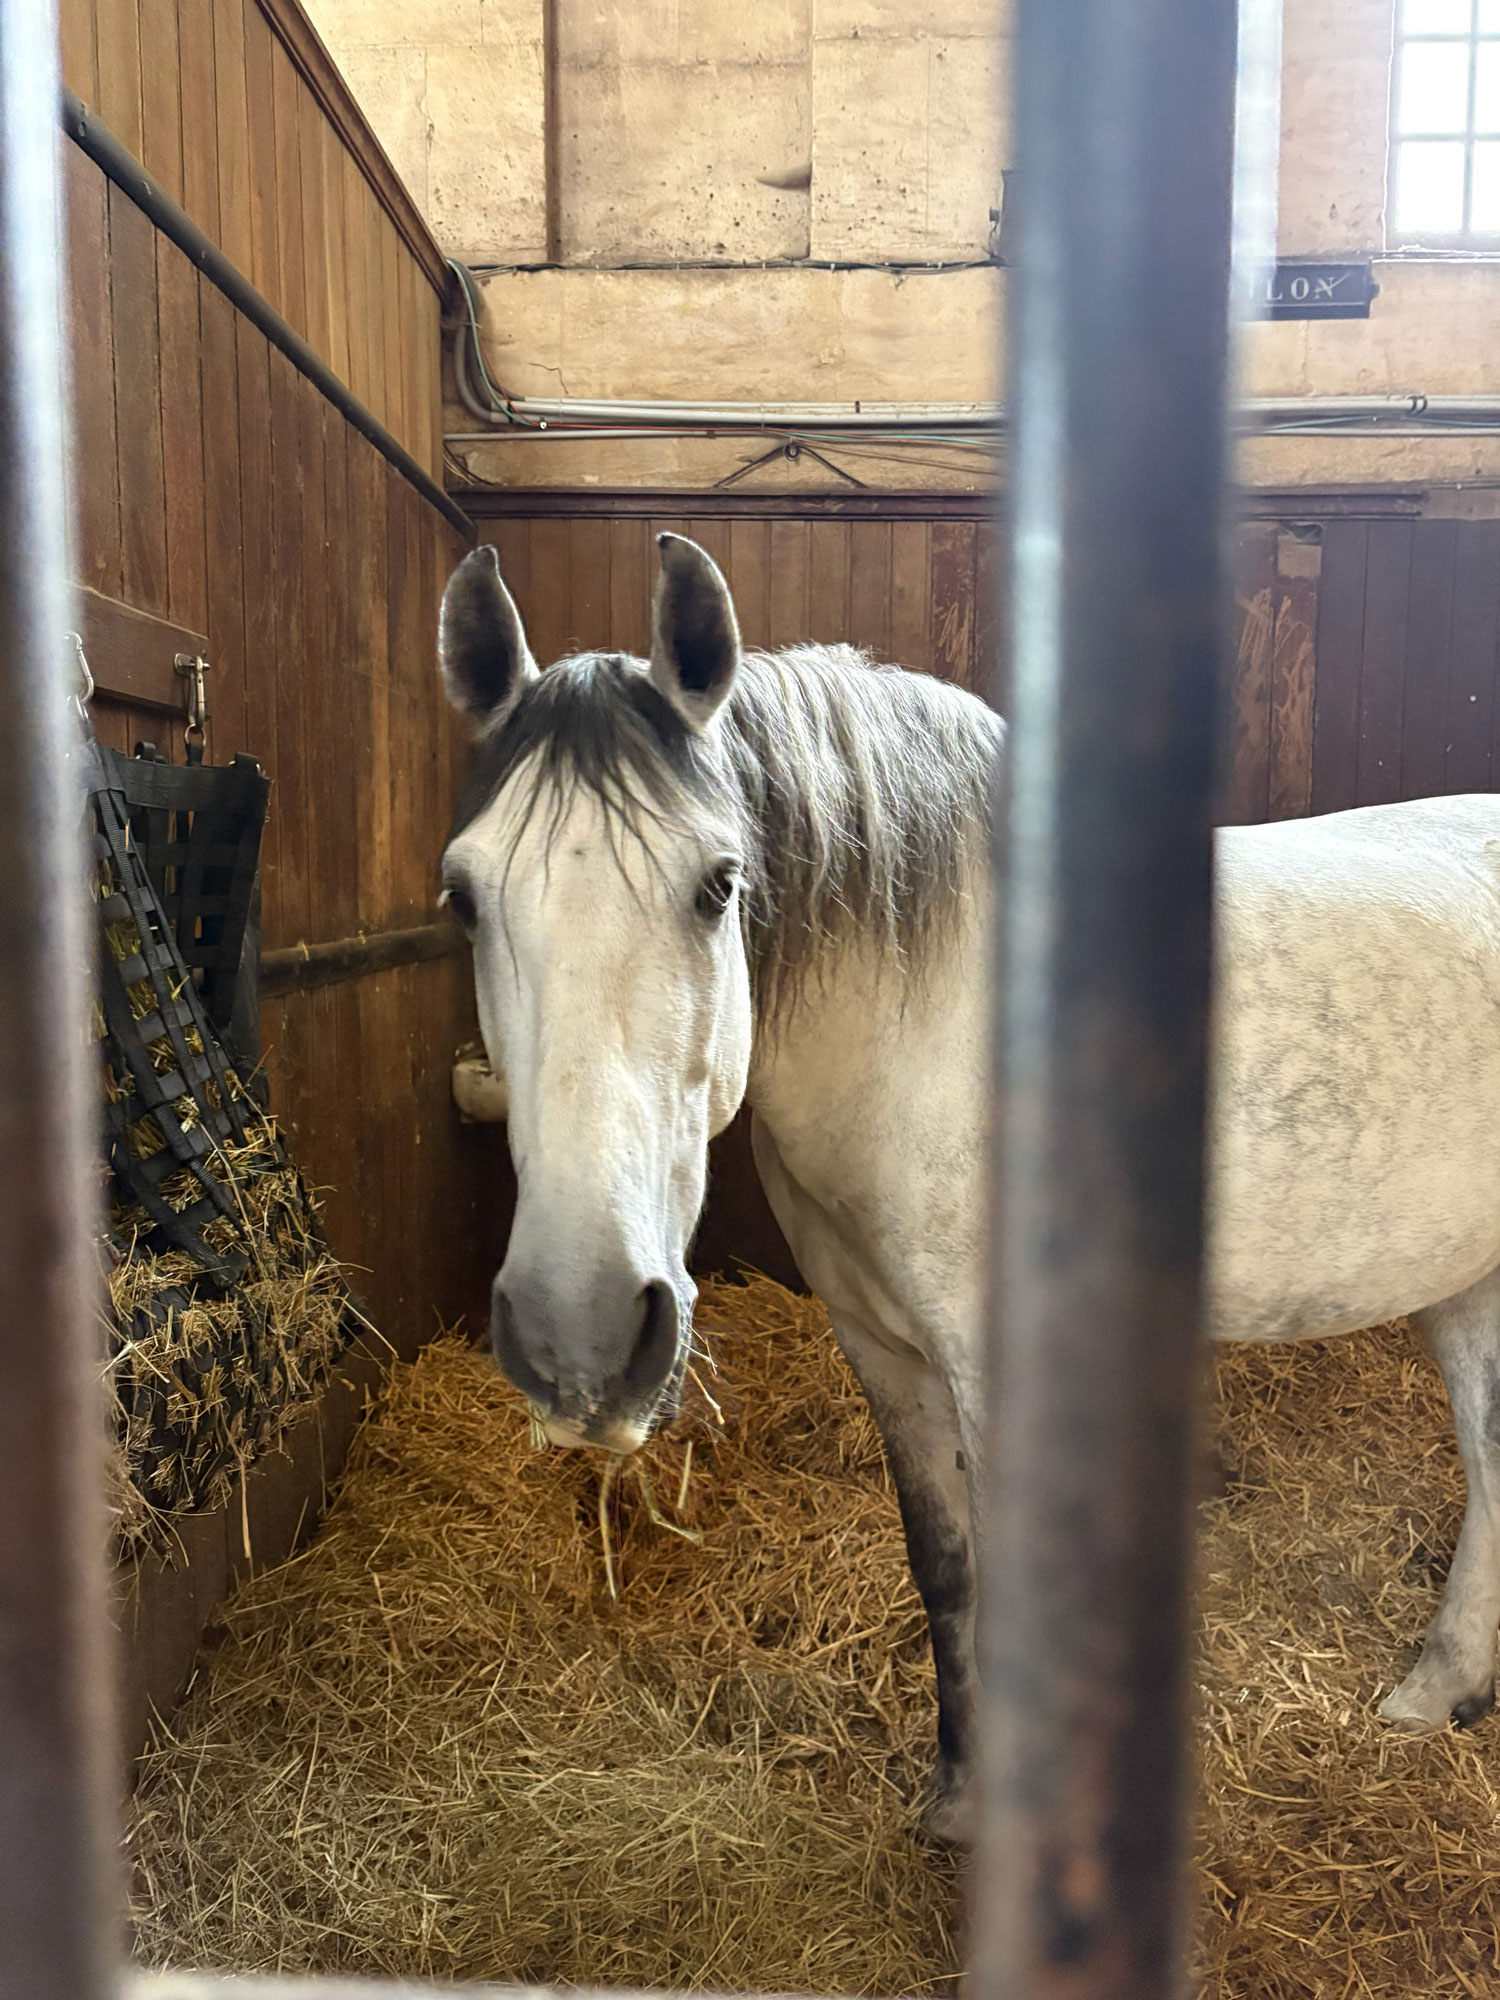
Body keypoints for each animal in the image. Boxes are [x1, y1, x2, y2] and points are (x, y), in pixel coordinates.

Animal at [437, 530, 1500, 1842]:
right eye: (463, 895)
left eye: (719, 883)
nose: (578, 1334)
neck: (934, 1017)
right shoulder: (887, 1355)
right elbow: (944, 1570)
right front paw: (957, 1799)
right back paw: (1438, 1687)